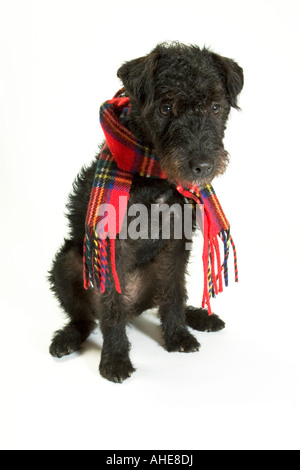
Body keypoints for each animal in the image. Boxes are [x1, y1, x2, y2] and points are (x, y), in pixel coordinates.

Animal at [48, 43, 243, 382]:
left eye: (216, 107)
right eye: (166, 109)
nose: (202, 165)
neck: (156, 175)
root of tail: (135, 308)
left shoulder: (177, 244)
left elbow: (174, 295)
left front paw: (178, 335)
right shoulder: (112, 246)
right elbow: (111, 307)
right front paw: (114, 358)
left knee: (167, 297)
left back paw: (199, 317)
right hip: (67, 263)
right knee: (85, 319)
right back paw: (67, 337)